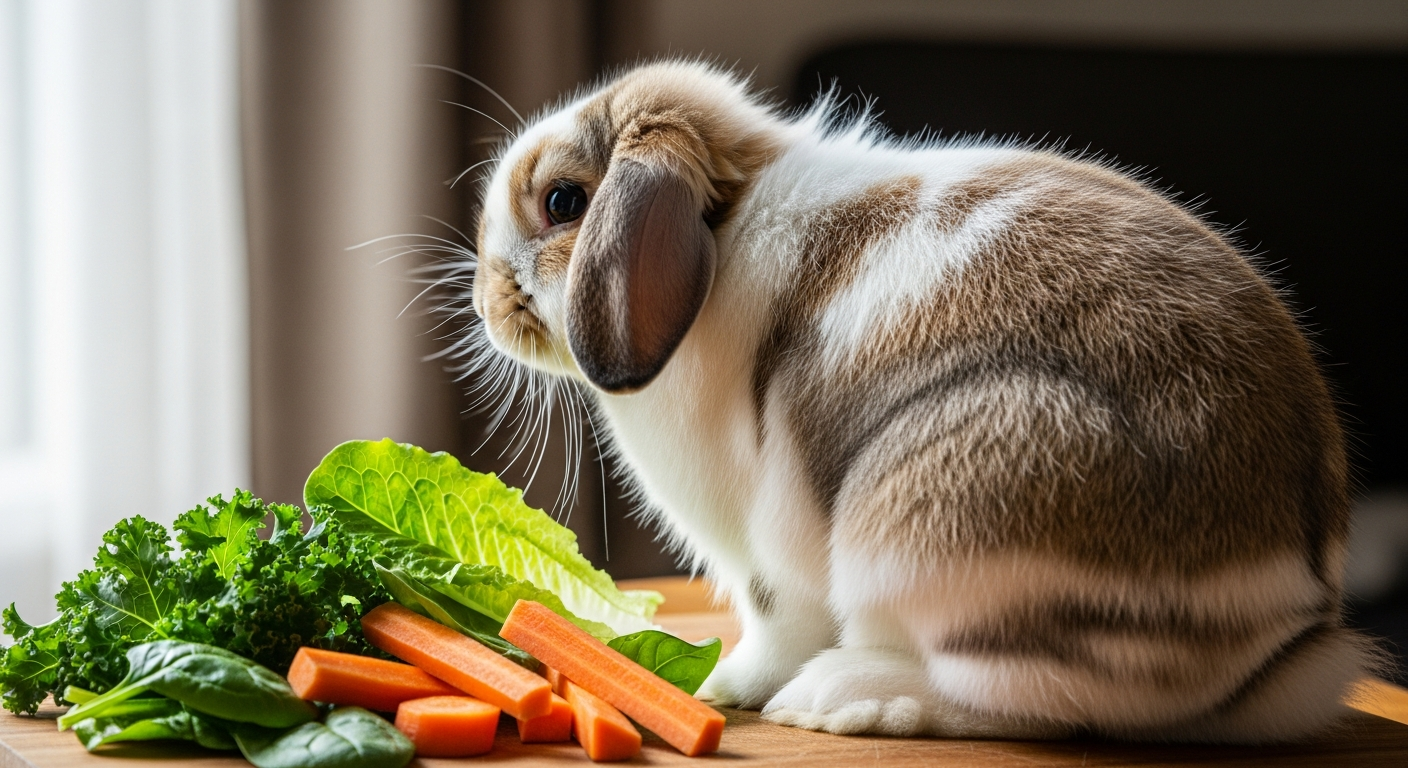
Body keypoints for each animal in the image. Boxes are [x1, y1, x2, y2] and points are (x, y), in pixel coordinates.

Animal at [465, 59, 1378, 742]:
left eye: (562, 202)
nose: (484, 299)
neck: (719, 241)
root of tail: (1281, 631)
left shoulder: (768, 559)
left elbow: (773, 623)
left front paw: (726, 686)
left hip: (931, 519)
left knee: (1028, 701)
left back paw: (840, 698)